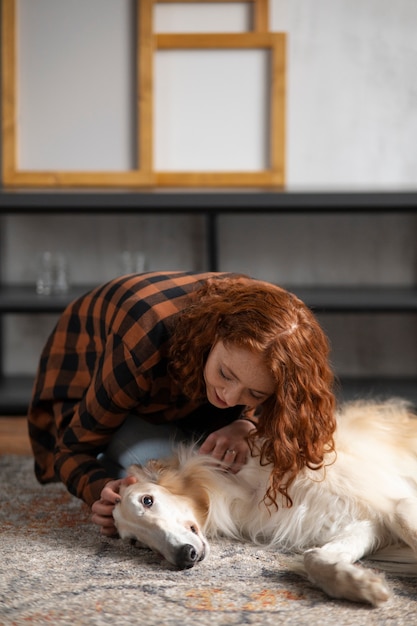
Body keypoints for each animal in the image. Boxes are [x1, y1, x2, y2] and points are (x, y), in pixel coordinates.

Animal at [112, 400, 416, 604]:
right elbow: (313, 557)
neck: (246, 489)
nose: (183, 558)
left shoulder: (393, 499)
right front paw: (362, 584)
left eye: (147, 500)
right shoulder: (364, 524)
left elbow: (401, 516)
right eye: (135, 543)